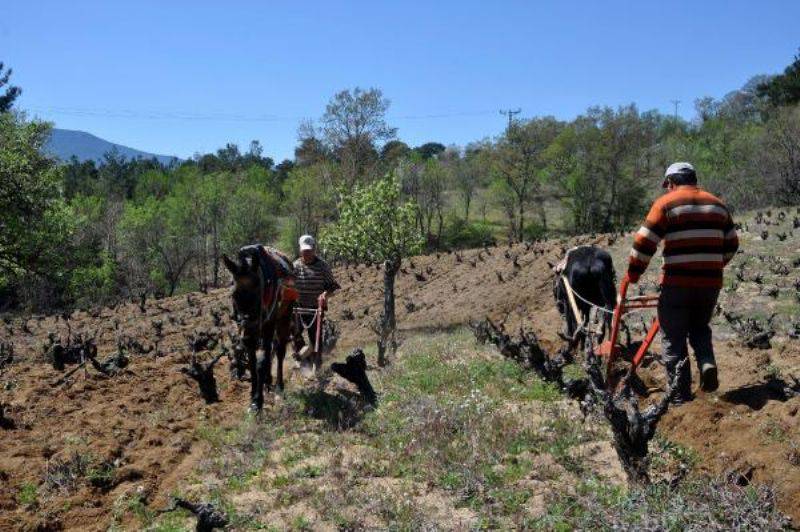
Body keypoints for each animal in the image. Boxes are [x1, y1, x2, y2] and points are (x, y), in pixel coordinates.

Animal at [220, 245, 298, 412]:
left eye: (257, 291)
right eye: (233, 294)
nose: (248, 324)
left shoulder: (266, 325)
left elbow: (261, 362)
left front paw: (258, 401)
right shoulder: (248, 332)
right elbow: (252, 362)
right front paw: (253, 394)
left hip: (283, 318)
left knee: (279, 351)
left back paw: (278, 386)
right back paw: (267, 381)